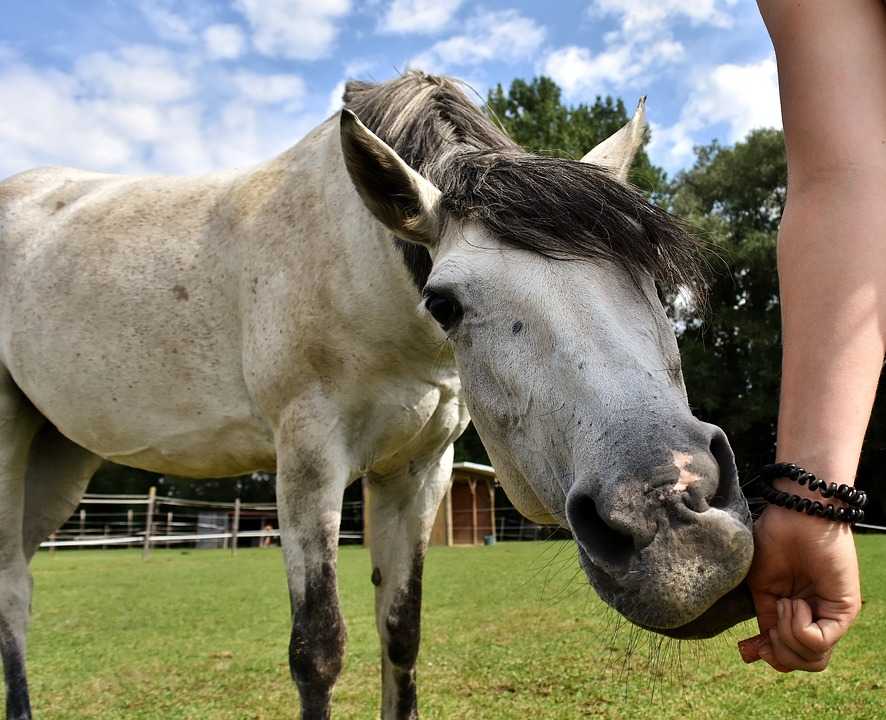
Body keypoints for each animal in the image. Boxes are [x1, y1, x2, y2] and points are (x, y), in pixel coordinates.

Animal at [0, 74, 752, 720]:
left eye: (650, 273)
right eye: (444, 303)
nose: (676, 517)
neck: (357, 264)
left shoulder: (417, 470)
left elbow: (400, 630)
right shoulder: (309, 463)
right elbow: (318, 650)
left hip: (59, 459)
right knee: (9, 591)